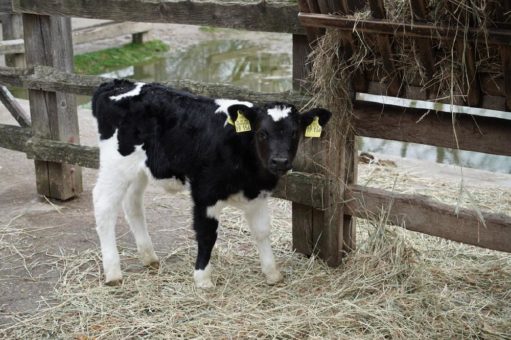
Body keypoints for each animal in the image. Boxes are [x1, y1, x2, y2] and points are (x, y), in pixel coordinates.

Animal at [91, 81, 332, 288]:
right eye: (262, 133)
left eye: (294, 133)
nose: (280, 161)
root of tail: (117, 83)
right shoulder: (204, 192)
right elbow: (207, 233)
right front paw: (202, 279)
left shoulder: (258, 195)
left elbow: (262, 231)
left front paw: (272, 273)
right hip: (116, 163)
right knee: (104, 205)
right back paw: (113, 272)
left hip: (139, 169)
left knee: (132, 202)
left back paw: (149, 257)